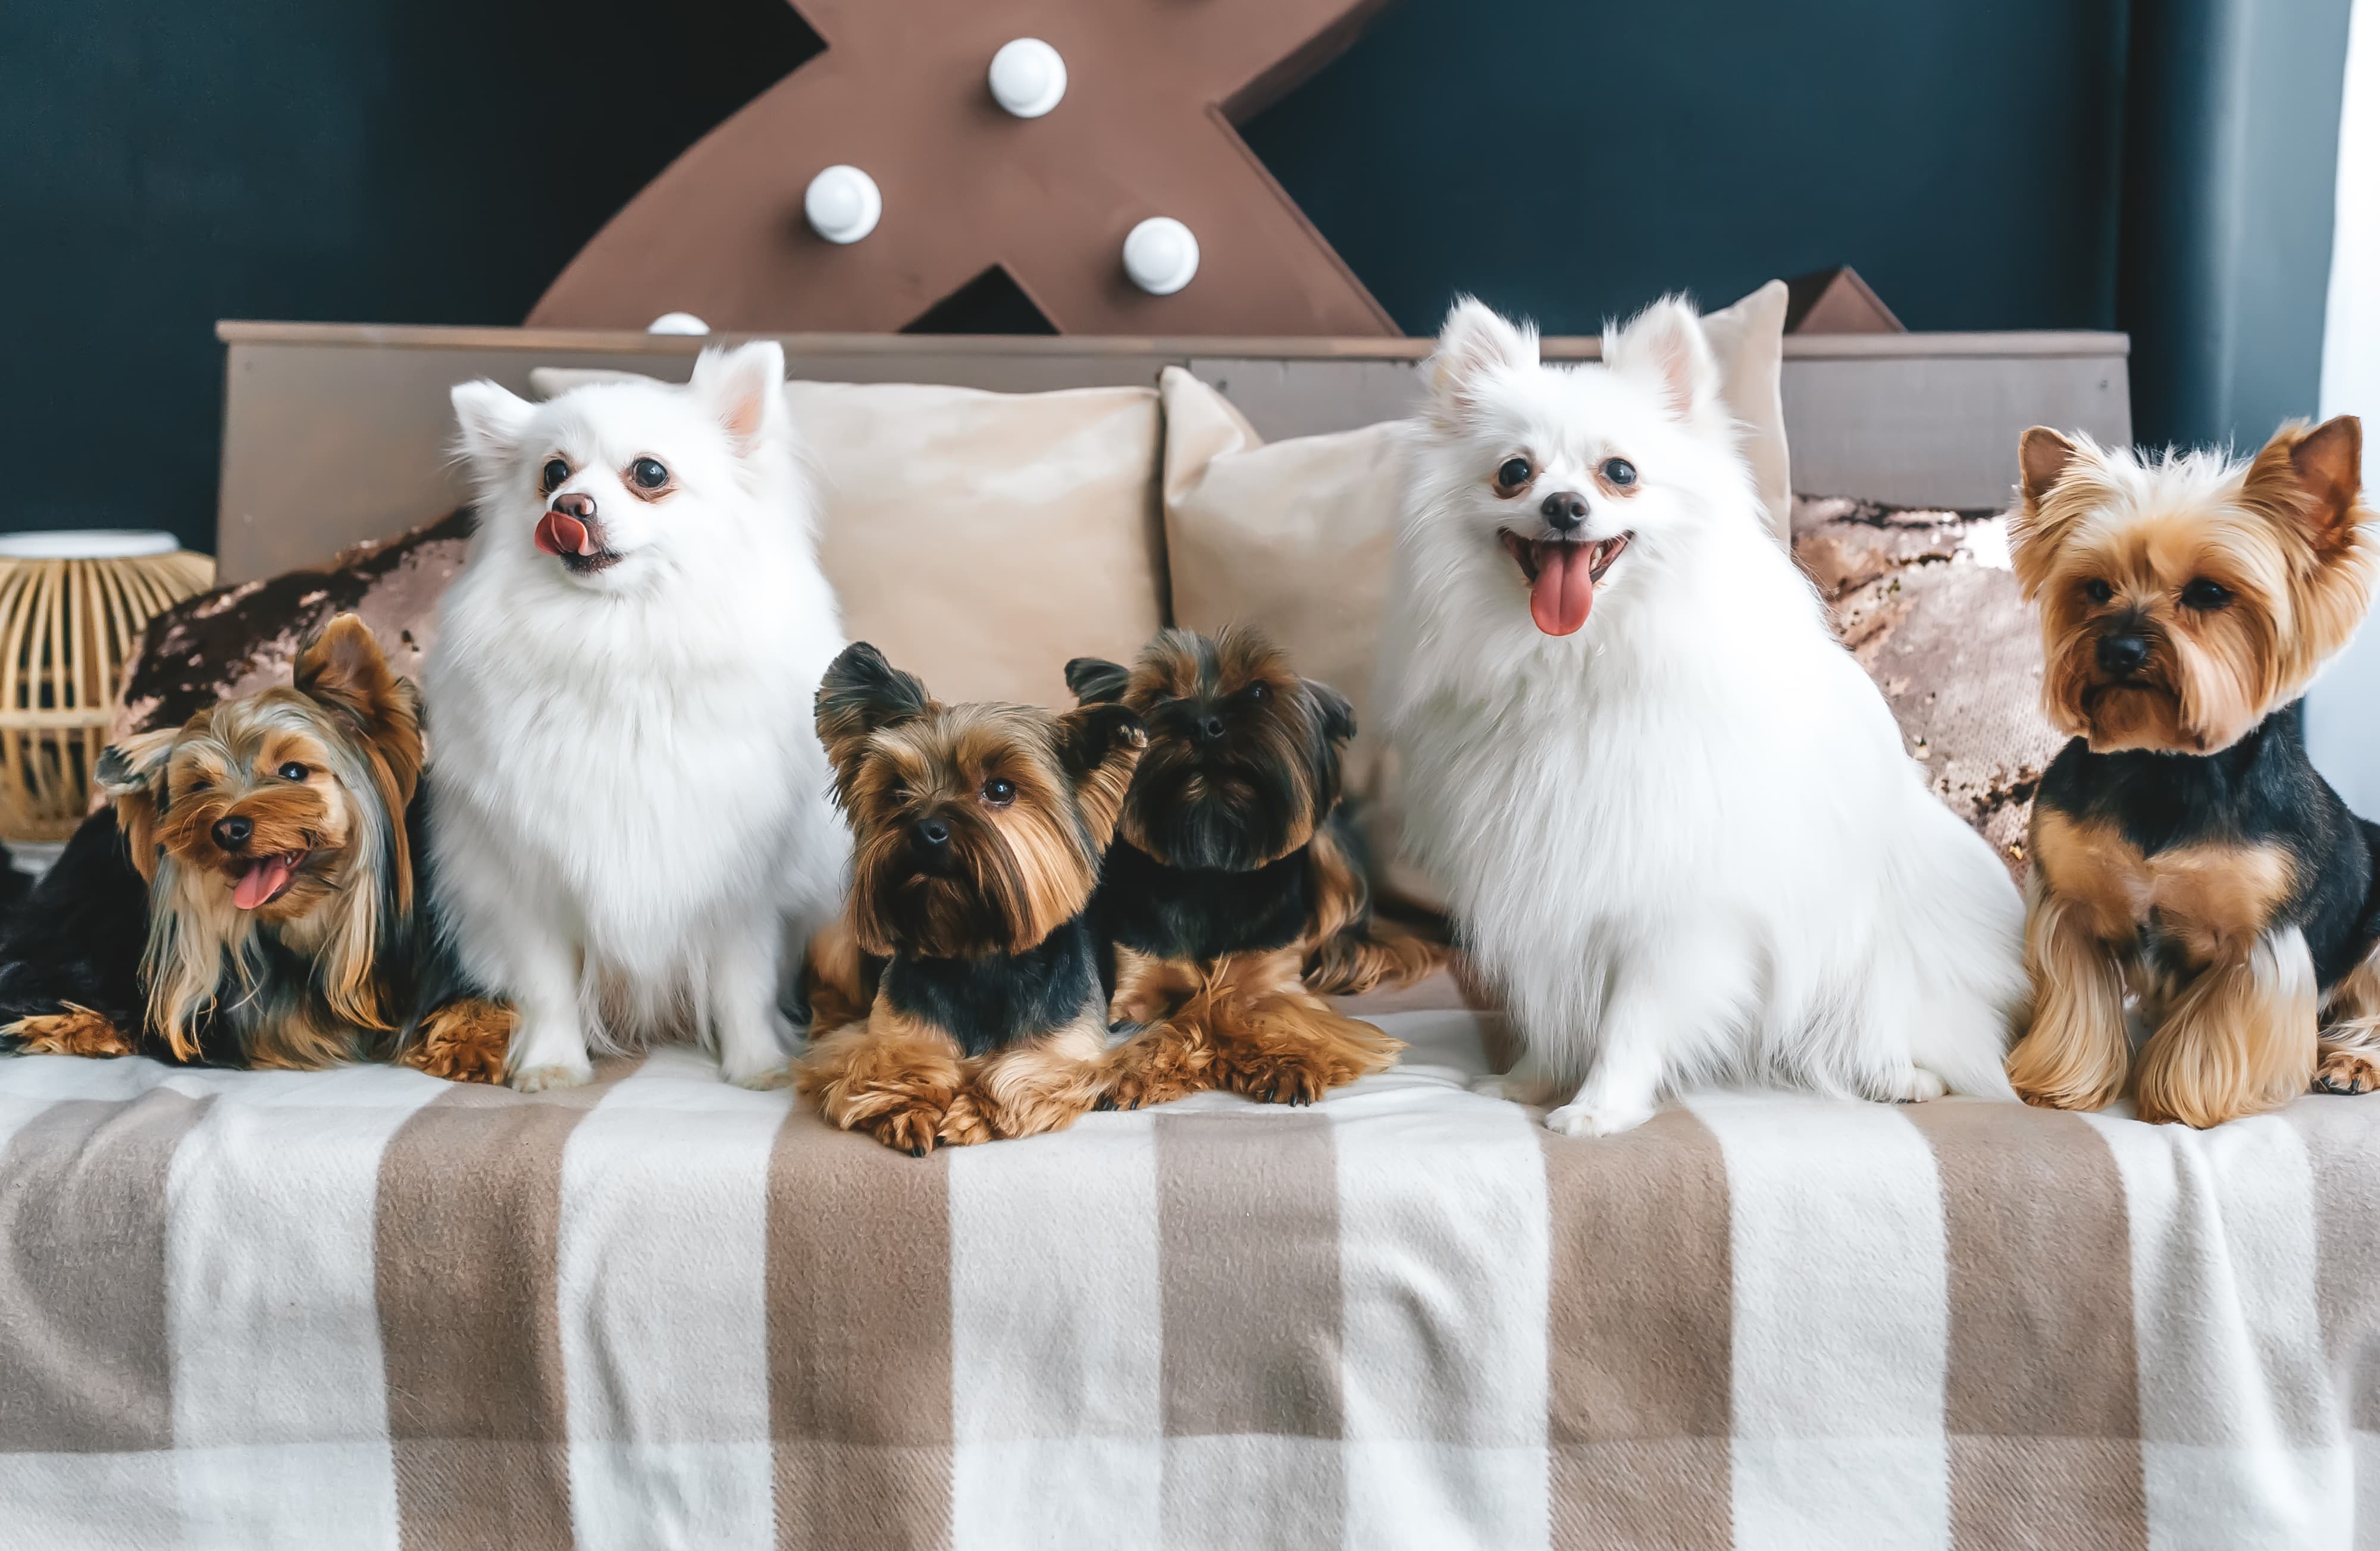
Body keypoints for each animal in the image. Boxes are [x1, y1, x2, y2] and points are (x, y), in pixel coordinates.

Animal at [795, 637, 1147, 1151]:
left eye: (999, 788)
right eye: (897, 791)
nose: (926, 829)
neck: (977, 954)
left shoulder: (1078, 1049)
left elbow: (1025, 1069)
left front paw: (977, 1111)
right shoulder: (887, 1036)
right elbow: (885, 1061)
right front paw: (908, 1106)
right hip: (835, 942)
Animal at [1071, 623, 1438, 1108]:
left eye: (1260, 691)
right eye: (1160, 695)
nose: (1204, 724)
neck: (1210, 864)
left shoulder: (1274, 982)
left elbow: (1264, 1010)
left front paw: (1287, 1062)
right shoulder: (1136, 982)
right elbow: (1158, 1020)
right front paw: (1133, 1070)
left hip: (1332, 852)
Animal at [1380, 297, 2028, 1132]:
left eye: (1619, 473)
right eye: (1513, 472)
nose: (1563, 506)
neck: (1577, 666)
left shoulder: (1678, 910)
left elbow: (1630, 1019)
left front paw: (1599, 1109)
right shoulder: (1546, 884)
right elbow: (1552, 1009)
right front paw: (1530, 1082)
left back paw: (1900, 1074)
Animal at [2009, 413, 2380, 1127]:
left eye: (2210, 593)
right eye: (2095, 589)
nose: (2119, 647)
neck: (2163, 765)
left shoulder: (2260, 942)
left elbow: (2212, 1031)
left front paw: (2181, 1102)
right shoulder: (2067, 908)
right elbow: (2077, 1004)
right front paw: (2061, 1085)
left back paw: (2351, 1061)